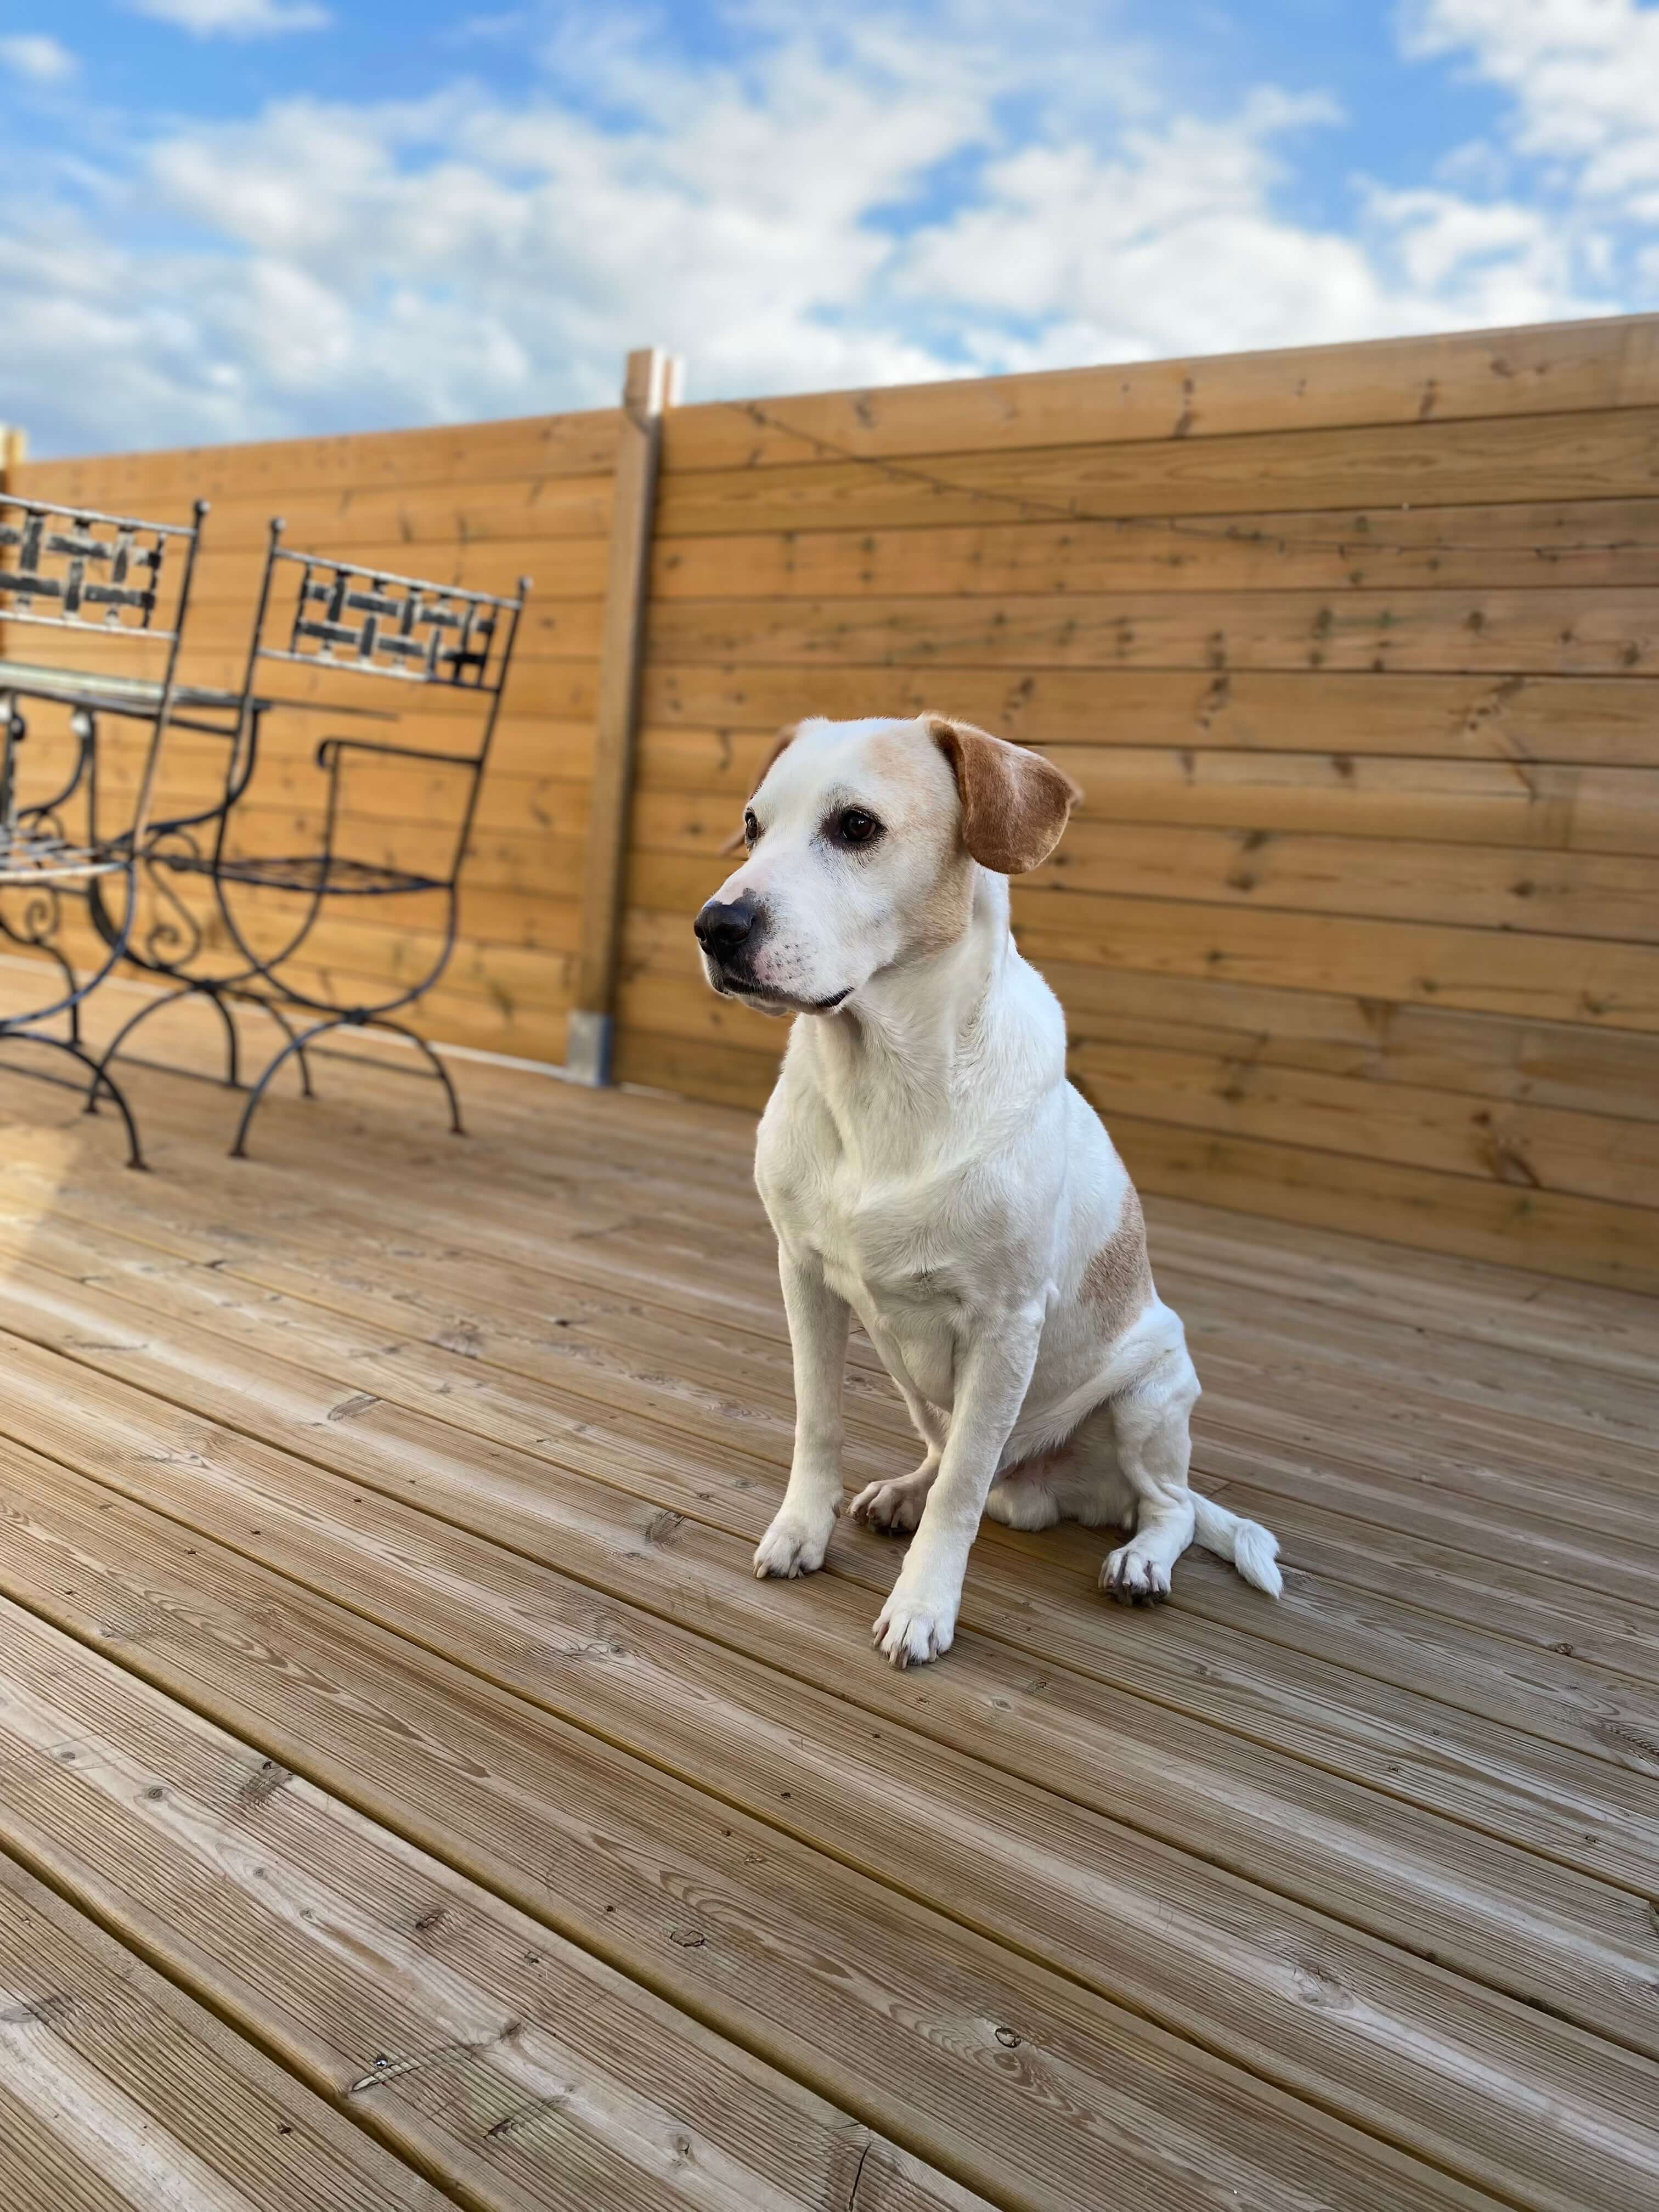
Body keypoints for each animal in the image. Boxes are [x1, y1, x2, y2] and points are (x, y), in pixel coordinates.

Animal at [695, 708, 1283, 1663]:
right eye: (752, 825)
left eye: (855, 826)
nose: (715, 927)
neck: (883, 1083)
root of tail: (1057, 1491)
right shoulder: (804, 1280)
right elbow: (819, 1424)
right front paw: (801, 1532)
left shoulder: (1006, 1328)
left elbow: (962, 1494)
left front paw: (923, 1606)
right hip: (921, 1390)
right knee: (951, 1459)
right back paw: (901, 1491)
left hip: (1152, 1393)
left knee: (1171, 1511)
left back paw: (1141, 1562)